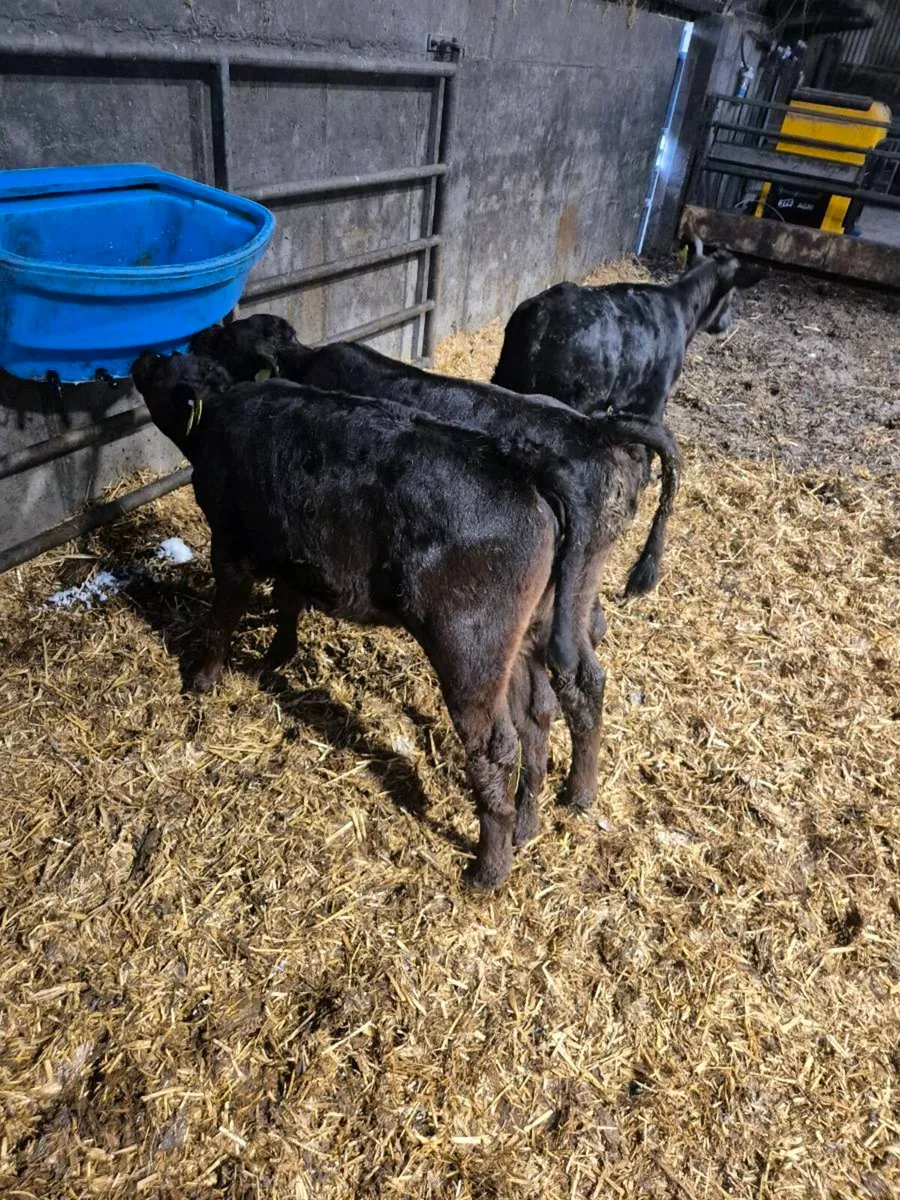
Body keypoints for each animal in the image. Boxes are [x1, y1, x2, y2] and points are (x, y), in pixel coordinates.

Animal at [131, 351, 608, 889]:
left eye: (165, 367)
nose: (142, 357)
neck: (218, 411)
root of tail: (527, 471)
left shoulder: (230, 546)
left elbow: (221, 620)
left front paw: (199, 679)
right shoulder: (296, 550)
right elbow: (288, 600)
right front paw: (275, 657)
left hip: (471, 649)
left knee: (496, 746)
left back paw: (488, 870)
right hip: (532, 631)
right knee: (543, 708)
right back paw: (534, 823)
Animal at [189, 318, 680, 818]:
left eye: (224, 340)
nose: (195, 340)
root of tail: (599, 431)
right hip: (576, 587)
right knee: (586, 670)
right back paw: (580, 791)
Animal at [491, 237, 766, 420]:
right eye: (732, 295)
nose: (726, 324)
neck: (681, 306)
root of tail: (543, 315)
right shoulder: (653, 399)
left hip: (505, 375)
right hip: (574, 397)